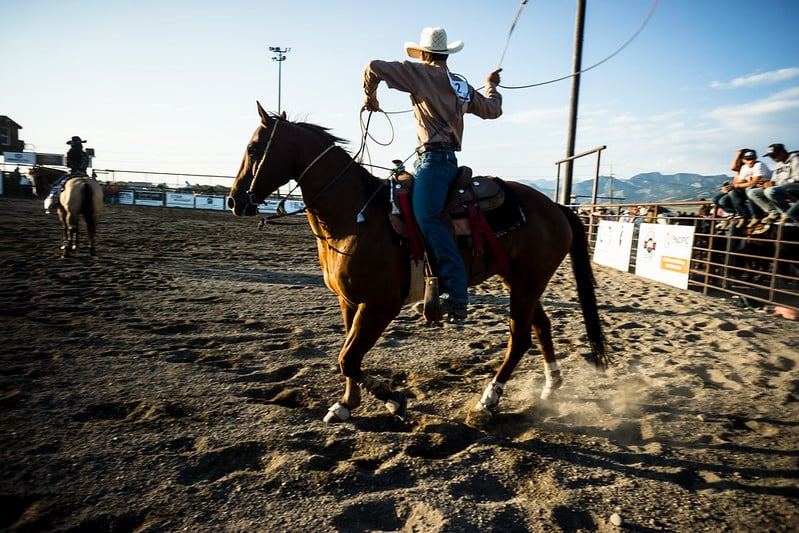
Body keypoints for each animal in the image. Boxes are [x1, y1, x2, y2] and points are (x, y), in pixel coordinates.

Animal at [228, 100, 608, 424]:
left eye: (254, 149)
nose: (234, 201)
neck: (355, 217)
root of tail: (556, 206)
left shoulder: (380, 305)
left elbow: (348, 358)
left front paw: (392, 398)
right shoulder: (349, 301)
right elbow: (348, 356)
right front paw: (347, 405)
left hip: (528, 283)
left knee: (520, 338)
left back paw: (487, 401)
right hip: (518, 280)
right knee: (541, 327)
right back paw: (551, 387)